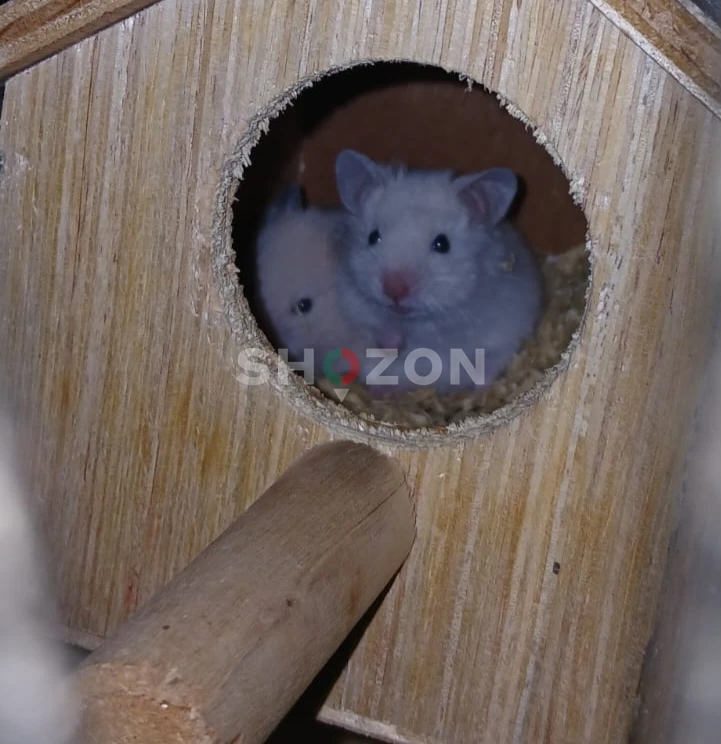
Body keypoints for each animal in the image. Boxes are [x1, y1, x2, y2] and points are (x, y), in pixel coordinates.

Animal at [333, 149, 544, 394]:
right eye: (373, 237)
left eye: (442, 244)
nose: (394, 290)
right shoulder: (350, 297)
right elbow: (373, 322)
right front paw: (393, 344)